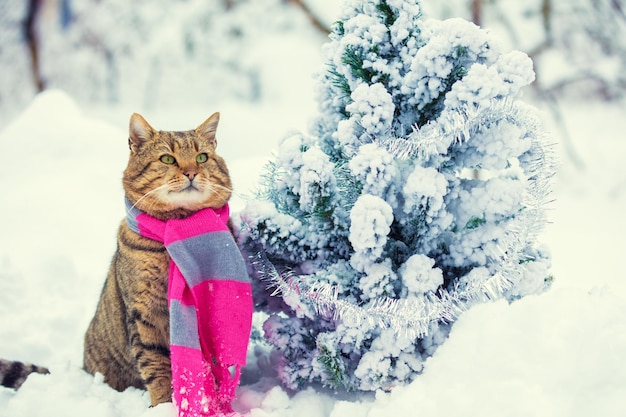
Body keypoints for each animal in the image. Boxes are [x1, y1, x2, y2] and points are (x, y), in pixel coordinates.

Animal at [0, 112, 232, 404]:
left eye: (202, 157)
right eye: (167, 159)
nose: (192, 172)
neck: (177, 226)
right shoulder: (143, 313)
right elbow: (157, 366)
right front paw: (165, 405)